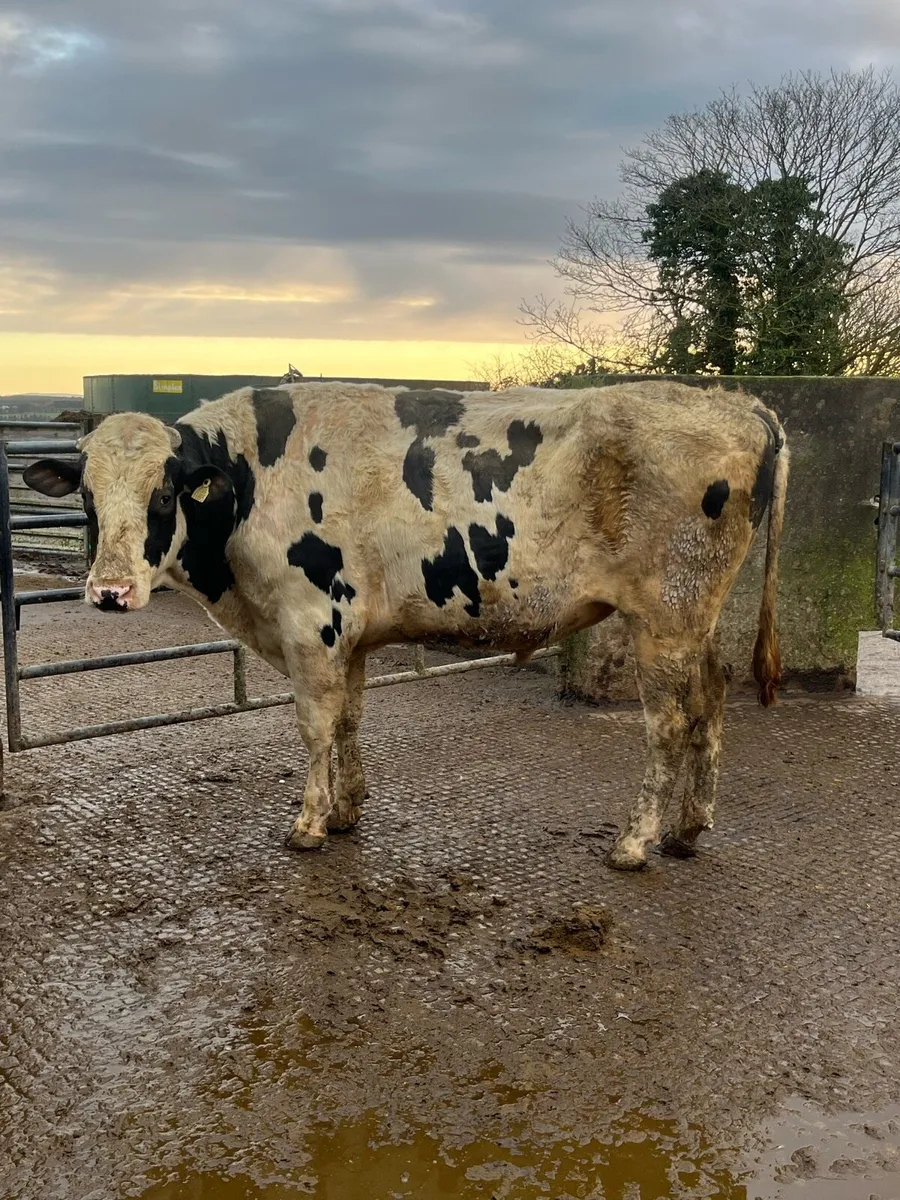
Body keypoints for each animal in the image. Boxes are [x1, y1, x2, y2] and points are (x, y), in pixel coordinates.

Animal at [23, 380, 788, 871]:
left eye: (164, 492)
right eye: (87, 495)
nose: (110, 591)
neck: (249, 482)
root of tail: (742, 403)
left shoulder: (311, 623)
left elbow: (315, 725)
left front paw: (308, 824)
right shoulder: (348, 632)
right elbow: (349, 719)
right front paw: (346, 810)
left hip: (664, 618)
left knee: (669, 725)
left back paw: (636, 842)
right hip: (695, 619)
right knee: (713, 700)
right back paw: (689, 829)